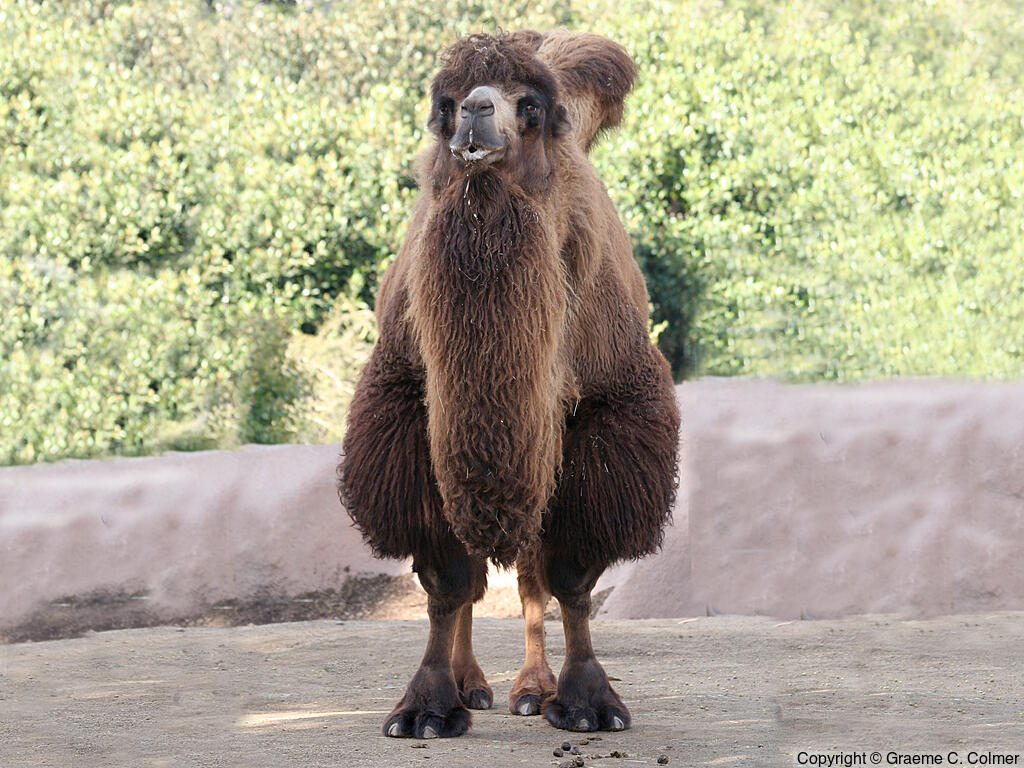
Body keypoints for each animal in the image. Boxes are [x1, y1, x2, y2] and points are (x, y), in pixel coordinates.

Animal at [338, 29, 679, 738]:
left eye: (530, 106)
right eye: (444, 105)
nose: (476, 111)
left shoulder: (608, 419)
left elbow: (570, 576)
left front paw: (587, 703)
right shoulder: (407, 418)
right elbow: (446, 579)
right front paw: (427, 707)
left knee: (529, 579)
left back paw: (531, 688)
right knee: (478, 579)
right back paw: (474, 685)